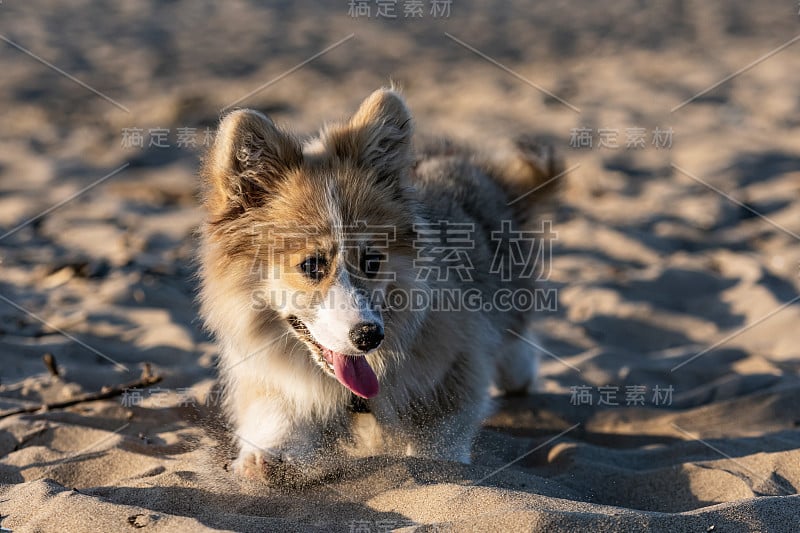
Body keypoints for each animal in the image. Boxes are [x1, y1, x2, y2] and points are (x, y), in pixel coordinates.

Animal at [199, 88, 564, 482]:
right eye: (311, 265)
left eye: (372, 262)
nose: (368, 336)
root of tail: (483, 173)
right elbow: (276, 414)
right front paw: (265, 457)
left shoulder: (454, 366)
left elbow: (440, 440)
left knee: (515, 348)